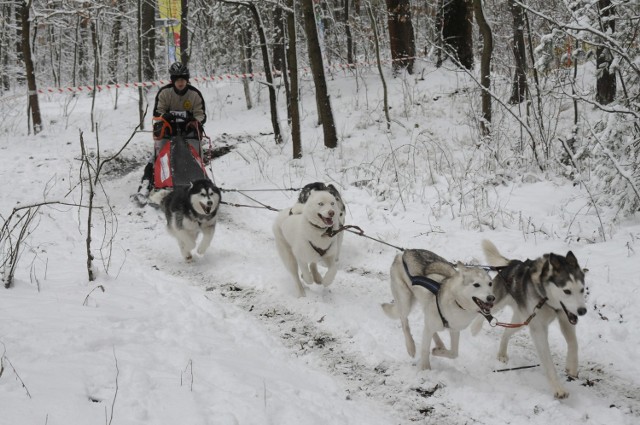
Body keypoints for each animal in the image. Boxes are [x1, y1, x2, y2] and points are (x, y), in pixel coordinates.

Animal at [472, 240, 588, 400]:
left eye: (582, 289)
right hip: (497, 303)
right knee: (482, 313)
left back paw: (502, 353)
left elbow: (573, 343)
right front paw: (558, 388)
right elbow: (548, 362)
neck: (547, 299)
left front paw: (572, 366)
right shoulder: (539, 330)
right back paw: (475, 327)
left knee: (506, 332)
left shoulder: (566, 318)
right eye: (567, 291)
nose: (583, 311)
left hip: (522, 320)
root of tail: (512, 264)